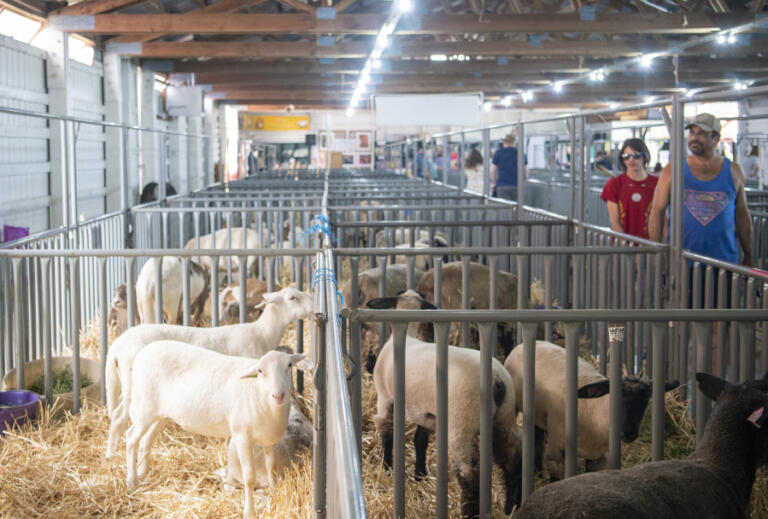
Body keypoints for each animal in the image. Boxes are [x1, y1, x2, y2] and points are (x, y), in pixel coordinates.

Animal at [105, 286, 316, 462]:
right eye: (293, 297)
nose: (314, 306)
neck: (262, 333)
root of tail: (116, 346)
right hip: (135, 388)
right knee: (119, 417)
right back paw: (112, 455)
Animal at [126, 342, 306, 519]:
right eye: (260, 371)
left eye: (289, 365)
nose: (278, 396)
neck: (258, 393)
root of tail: (144, 351)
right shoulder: (242, 438)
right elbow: (249, 478)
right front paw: (249, 512)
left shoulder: (268, 440)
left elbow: (271, 467)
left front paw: (274, 493)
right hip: (143, 407)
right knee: (131, 438)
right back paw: (131, 481)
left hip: (160, 414)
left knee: (145, 441)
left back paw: (142, 473)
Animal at [366, 290, 520, 516]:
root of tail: (498, 379)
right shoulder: (426, 412)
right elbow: (420, 440)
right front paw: (419, 475)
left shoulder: (385, 398)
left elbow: (387, 434)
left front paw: (387, 469)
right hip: (504, 419)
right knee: (511, 460)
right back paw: (511, 506)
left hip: (462, 425)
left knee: (469, 475)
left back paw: (469, 511)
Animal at [504, 342, 680, 484]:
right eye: (613, 396)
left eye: (646, 398)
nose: (628, 432)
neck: (594, 411)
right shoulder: (556, 453)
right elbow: (556, 480)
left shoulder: (597, 458)